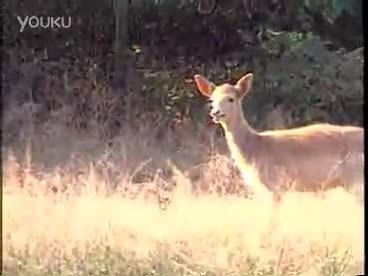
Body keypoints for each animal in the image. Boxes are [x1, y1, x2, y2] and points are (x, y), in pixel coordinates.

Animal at [194, 72, 364, 199]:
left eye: (231, 99)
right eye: (211, 100)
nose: (215, 113)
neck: (254, 148)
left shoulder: (275, 185)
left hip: (357, 180)